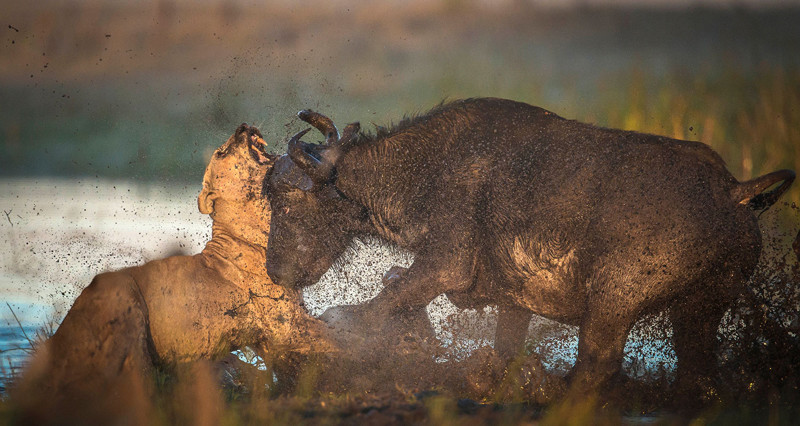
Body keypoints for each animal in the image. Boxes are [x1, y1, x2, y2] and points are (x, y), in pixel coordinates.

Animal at [264, 98, 792, 402]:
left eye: (285, 202)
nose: (274, 271)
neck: (428, 168)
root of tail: (731, 191)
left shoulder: (444, 265)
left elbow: (383, 302)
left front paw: (342, 326)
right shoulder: (512, 301)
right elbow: (503, 350)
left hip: (613, 303)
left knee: (596, 367)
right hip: (701, 308)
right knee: (698, 375)